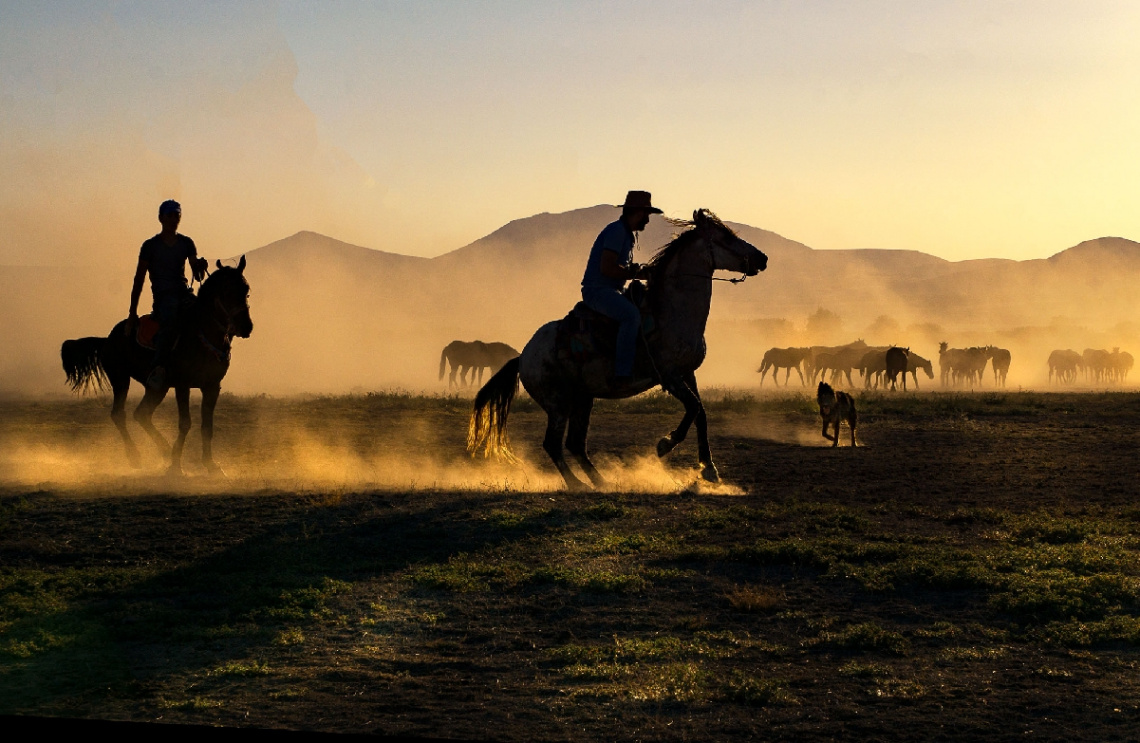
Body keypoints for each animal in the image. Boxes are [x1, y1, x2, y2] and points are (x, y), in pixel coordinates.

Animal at [60, 258, 254, 474]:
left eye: (246, 290)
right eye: (226, 291)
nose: (246, 327)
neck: (202, 335)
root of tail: (107, 340)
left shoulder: (212, 386)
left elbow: (207, 426)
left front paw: (211, 465)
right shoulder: (182, 385)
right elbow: (185, 423)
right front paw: (176, 465)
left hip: (156, 387)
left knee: (141, 414)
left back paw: (164, 450)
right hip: (120, 378)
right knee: (119, 414)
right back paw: (136, 456)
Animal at [462, 208, 766, 490]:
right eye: (726, 237)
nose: (762, 258)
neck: (671, 312)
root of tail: (523, 356)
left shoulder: (687, 373)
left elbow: (701, 413)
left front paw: (709, 469)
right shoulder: (669, 375)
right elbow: (692, 408)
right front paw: (665, 444)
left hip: (583, 399)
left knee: (575, 444)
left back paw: (600, 481)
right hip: (558, 404)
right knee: (553, 444)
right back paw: (577, 484)